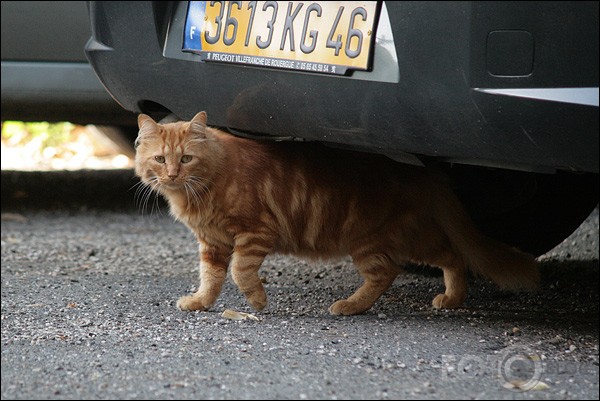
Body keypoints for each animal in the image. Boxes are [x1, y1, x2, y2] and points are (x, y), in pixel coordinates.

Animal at [136, 111, 540, 314]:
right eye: (160, 159)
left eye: (186, 159)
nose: (171, 175)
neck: (204, 188)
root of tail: (423, 171)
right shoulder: (212, 243)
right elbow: (211, 278)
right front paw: (201, 303)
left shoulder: (254, 233)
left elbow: (240, 272)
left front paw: (257, 301)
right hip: (404, 239)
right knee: (447, 256)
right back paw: (452, 298)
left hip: (374, 239)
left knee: (399, 269)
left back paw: (351, 306)